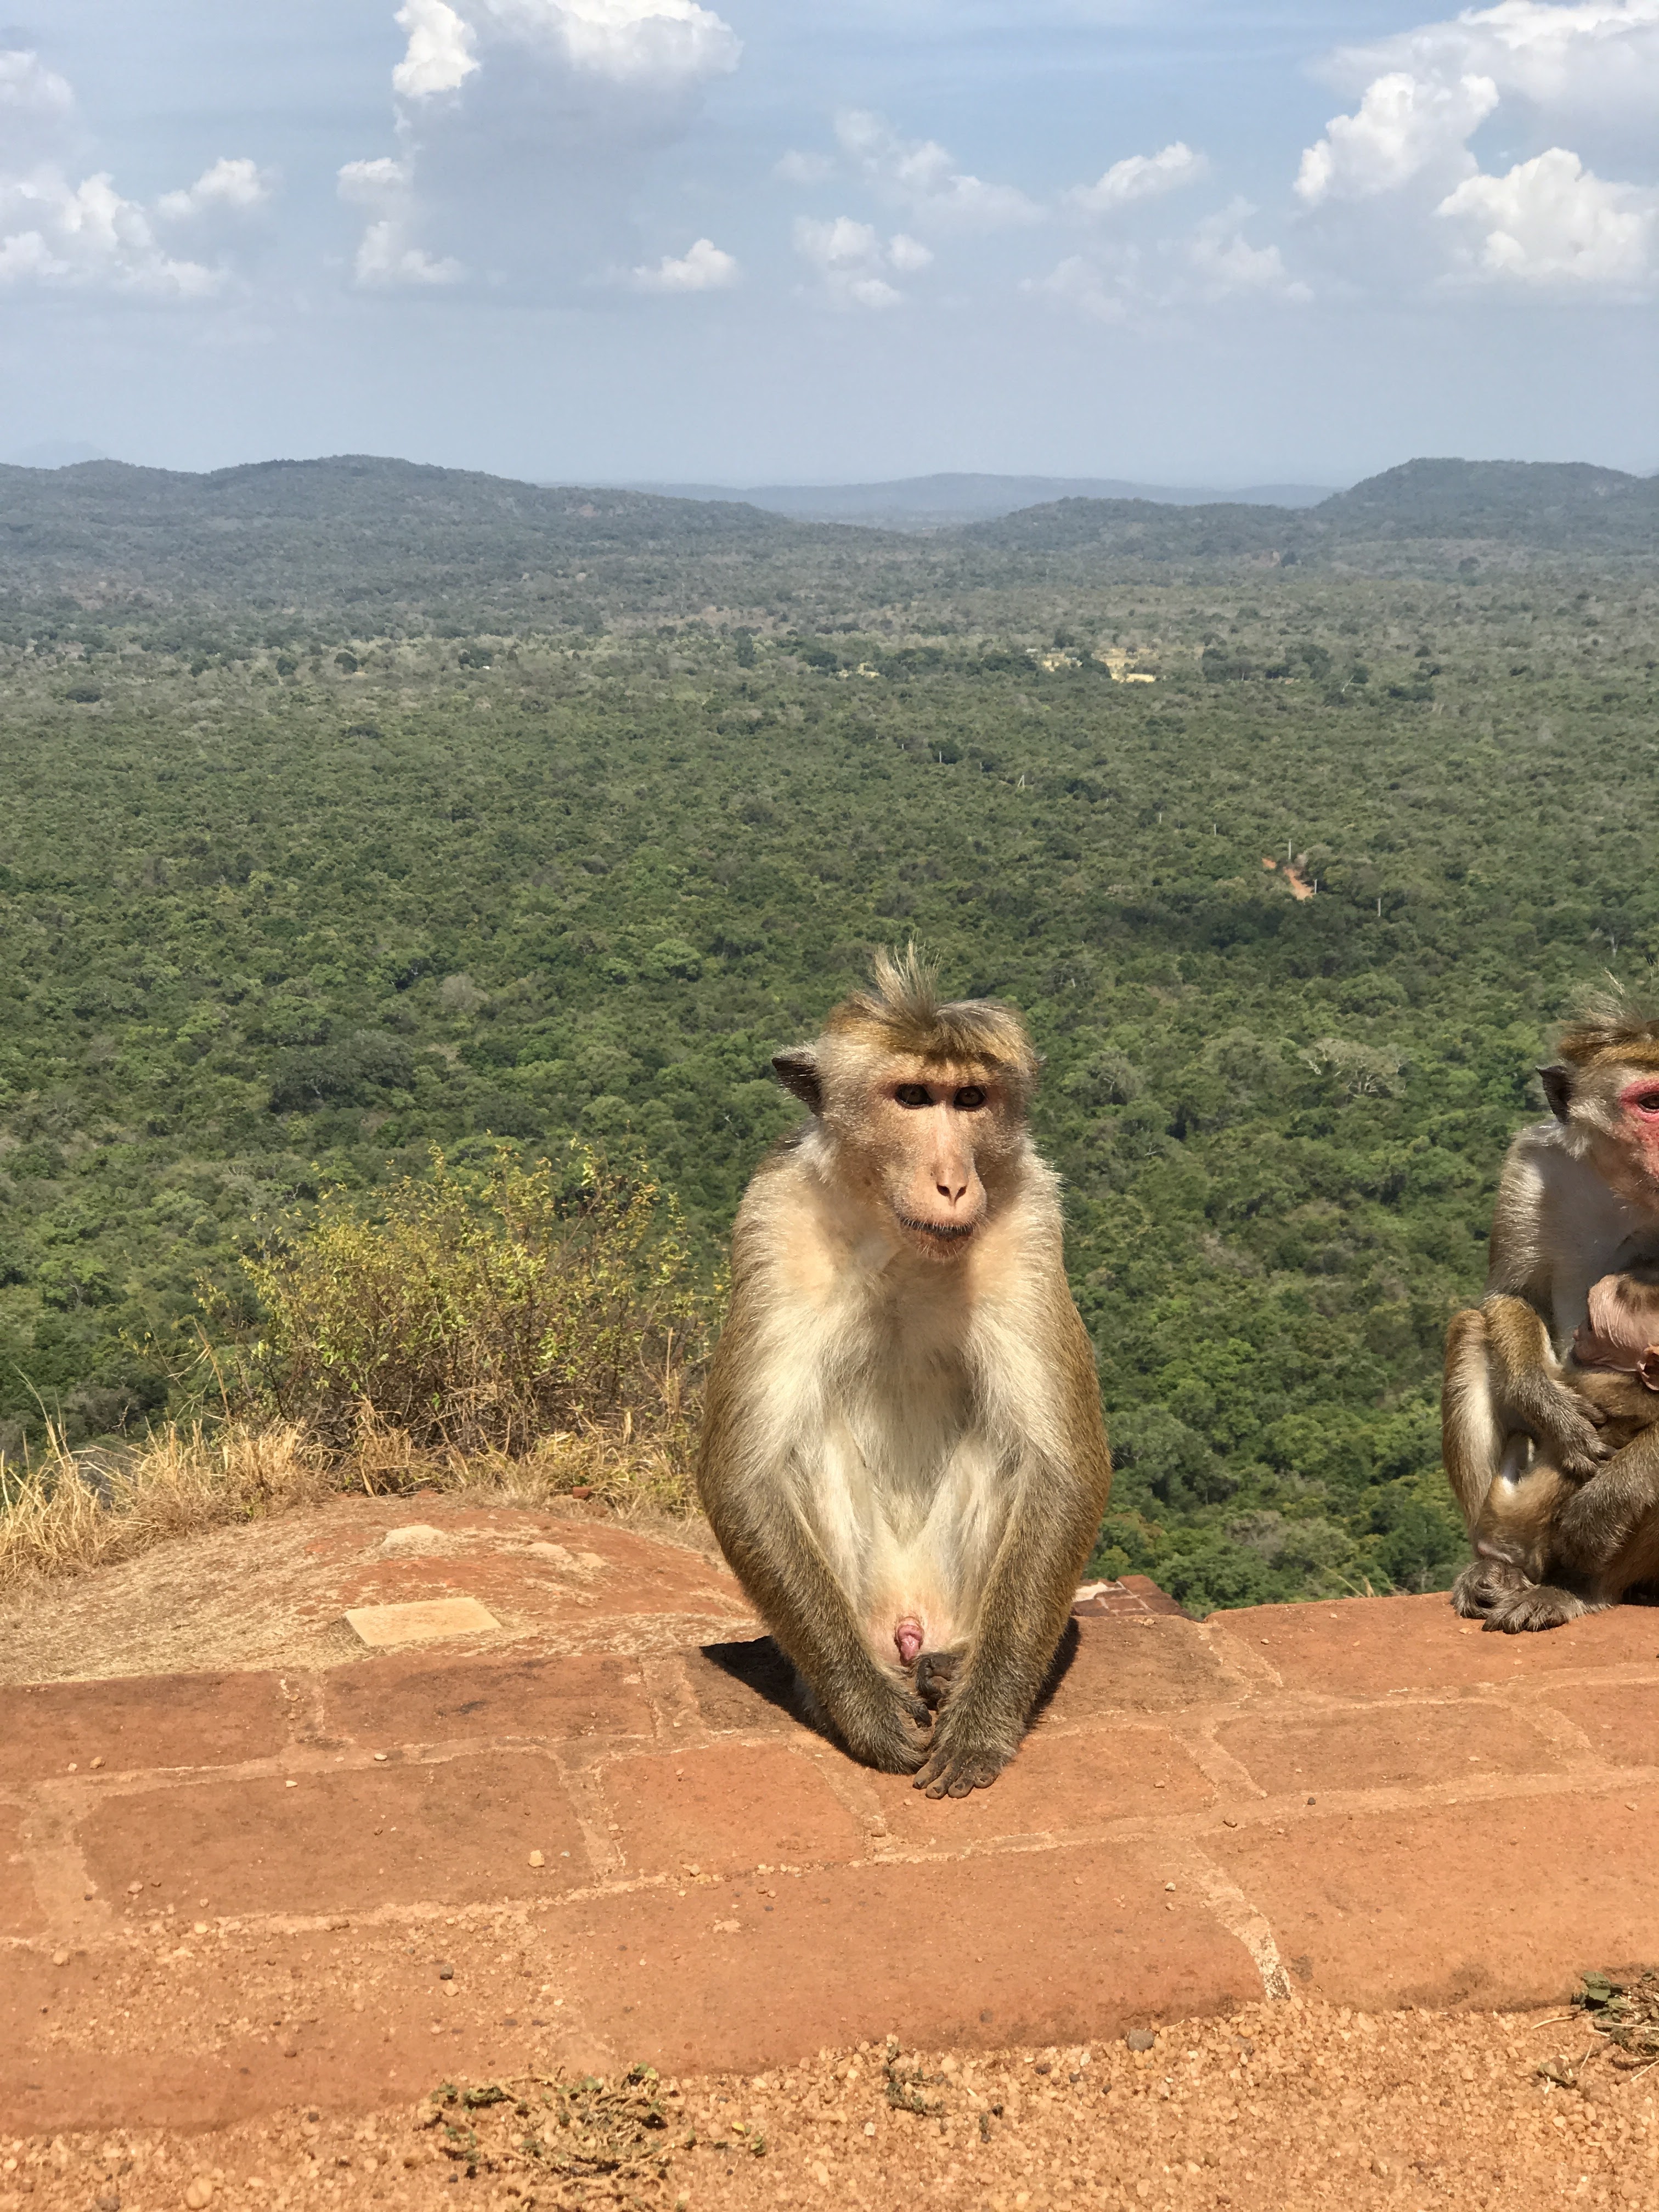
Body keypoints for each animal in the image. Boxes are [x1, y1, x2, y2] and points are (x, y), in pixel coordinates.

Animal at [695, 948, 1113, 1797]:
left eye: (971, 1099)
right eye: (914, 1097)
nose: (954, 1181)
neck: (900, 1240)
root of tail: (912, 1622)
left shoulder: (1030, 1223)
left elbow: (1061, 1467)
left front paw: (983, 1721)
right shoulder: (774, 1220)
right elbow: (745, 1471)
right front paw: (863, 1709)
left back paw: (954, 1669)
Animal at [1444, 997, 1659, 1632]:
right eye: (1652, 1103)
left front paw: (1607, 1500)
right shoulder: (1532, 1162)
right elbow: (1512, 1294)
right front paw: (1545, 1402)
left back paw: (1579, 1588)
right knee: (1471, 1328)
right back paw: (1495, 1568)